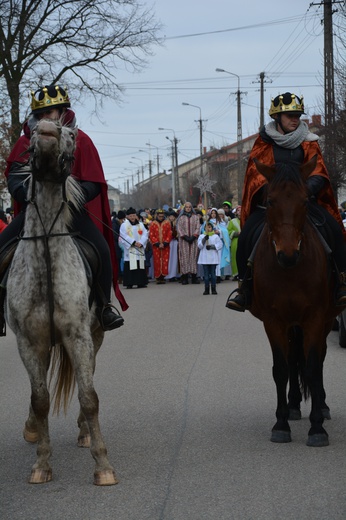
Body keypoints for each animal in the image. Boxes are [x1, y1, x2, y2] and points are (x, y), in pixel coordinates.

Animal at [6, 120, 117, 486]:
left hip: (95, 335)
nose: (46, 128)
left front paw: (102, 465)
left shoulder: (78, 336)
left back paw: (84, 432)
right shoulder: (28, 342)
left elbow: (89, 396)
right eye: (31, 132)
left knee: (89, 378)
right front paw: (41, 463)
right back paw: (32, 429)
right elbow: (40, 399)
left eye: (71, 134)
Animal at [250, 155, 342, 446]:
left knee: (319, 360)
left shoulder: (315, 318)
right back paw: (292, 407)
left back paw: (322, 406)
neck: (290, 270)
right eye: (270, 201)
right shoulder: (273, 321)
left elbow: (312, 367)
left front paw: (317, 428)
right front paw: (280, 424)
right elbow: (281, 368)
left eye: (304, 201)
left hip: (324, 321)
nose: (287, 255)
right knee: (292, 361)